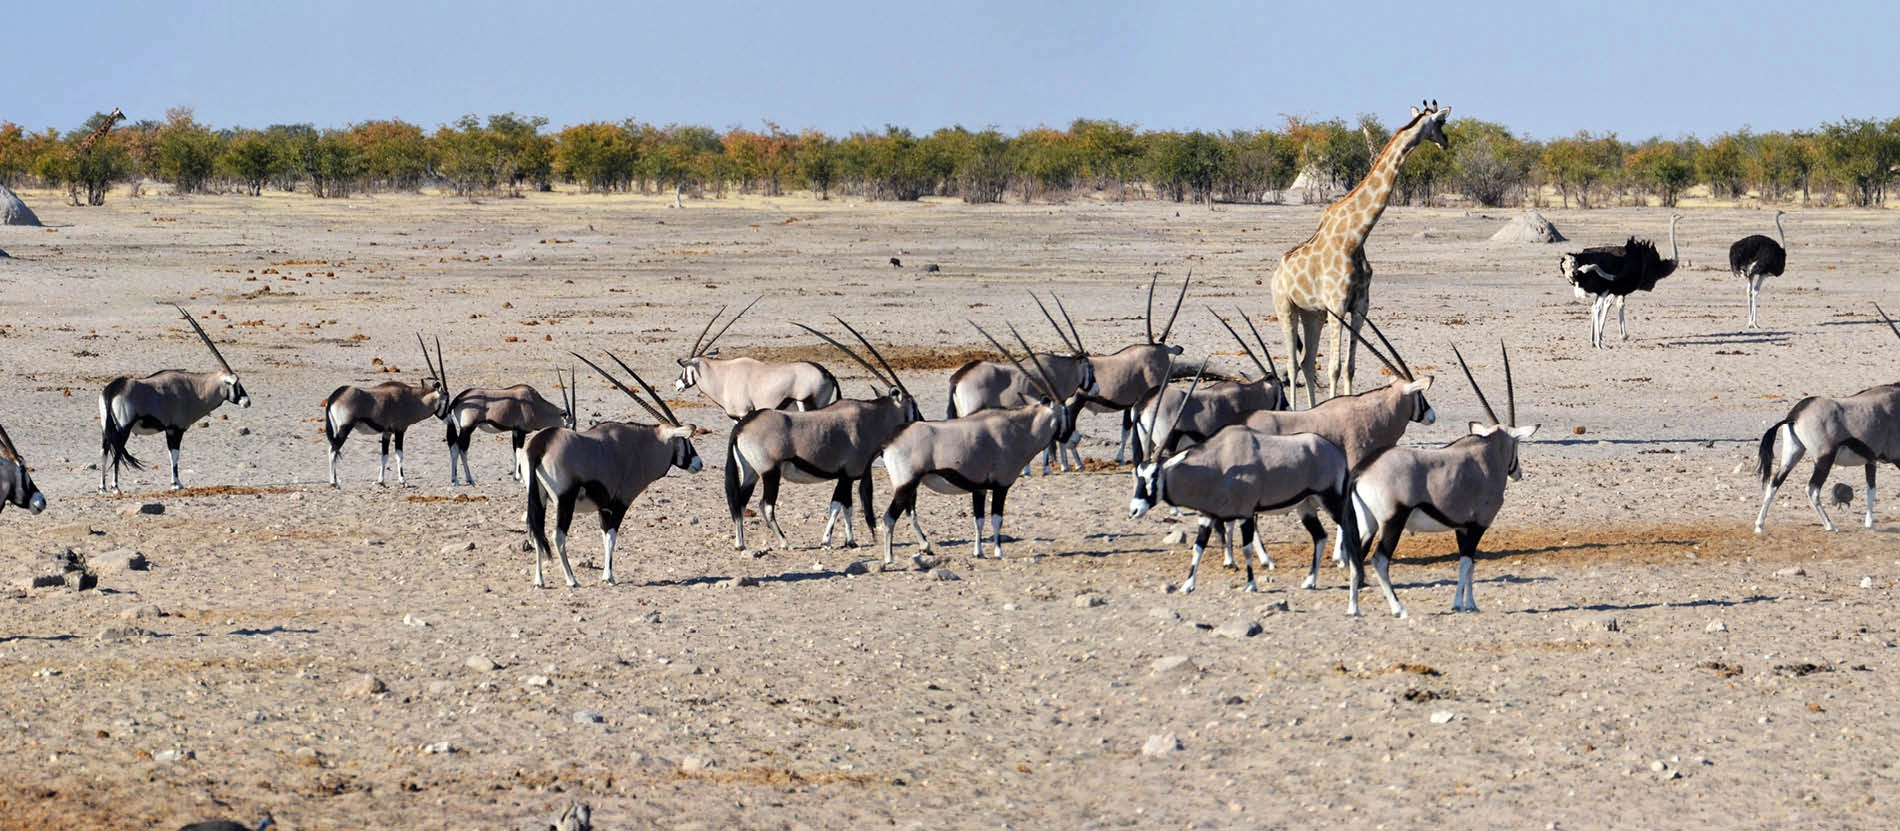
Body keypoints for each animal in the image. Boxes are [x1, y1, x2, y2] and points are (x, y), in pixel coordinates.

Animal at [1276, 100, 1451, 405]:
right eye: (1440, 123)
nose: (1446, 142)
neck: (1355, 238)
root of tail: (1276, 272)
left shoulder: (1359, 307)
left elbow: (1349, 367)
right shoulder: (1336, 307)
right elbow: (1334, 368)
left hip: (1312, 314)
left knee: (1307, 362)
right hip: (1285, 308)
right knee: (1291, 363)